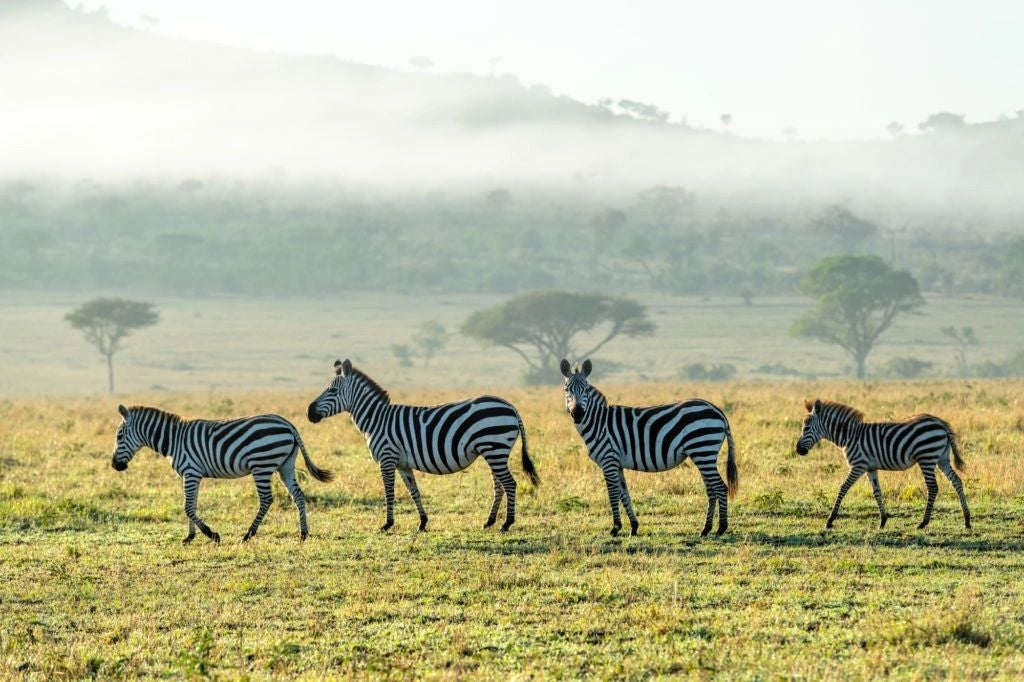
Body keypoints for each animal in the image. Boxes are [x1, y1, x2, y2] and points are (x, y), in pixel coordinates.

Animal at [112, 403, 335, 540]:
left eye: (119, 436)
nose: (115, 465)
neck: (173, 440)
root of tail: (289, 425)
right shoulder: (192, 475)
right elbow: (192, 505)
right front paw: (190, 537)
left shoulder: (191, 472)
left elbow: (187, 507)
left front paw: (211, 534)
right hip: (285, 465)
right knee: (298, 495)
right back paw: (303, 533)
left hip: (261, 465)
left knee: (266, 499)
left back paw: (248, 534)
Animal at [307, 358, 540, 528]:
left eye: (332, 391)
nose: (309, 412)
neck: (377, 419)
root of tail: (511, 406)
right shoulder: (402, 463)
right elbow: (414, 492)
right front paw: (422, 522)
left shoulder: (387, 458)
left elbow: (389, 492)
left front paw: (387, 524)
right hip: (493, 451)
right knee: (499, 485)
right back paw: (489, 521)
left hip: (495, 449)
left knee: (509, 483)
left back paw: (507, 523)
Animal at [561, 358, 737, 532]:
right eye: (566, 389)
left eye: (585, 389)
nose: (578, 414)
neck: (599, 423)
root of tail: (717, 410)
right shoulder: (617, 463)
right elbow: (624, 494)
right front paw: (634, 526)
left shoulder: (608, 460)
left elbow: (613, 493)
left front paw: (616, 527)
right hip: (703, 455)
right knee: (711, 490)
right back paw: (706, 529)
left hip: (703, 449)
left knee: (720, 487)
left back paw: (721, 528)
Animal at [794, 399, 970, 532]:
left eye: (806, 427)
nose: (798, 450)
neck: (849, 436)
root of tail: (940, 423)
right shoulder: (871, 468)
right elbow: (877, 492)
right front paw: (883, 520)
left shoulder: (858, 466)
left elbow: (843, 488)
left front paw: (830, 520)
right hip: (942, 459)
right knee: (957, 481)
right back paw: (967, 520)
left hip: (926, 457)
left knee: (933, 487)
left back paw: (923, 523)